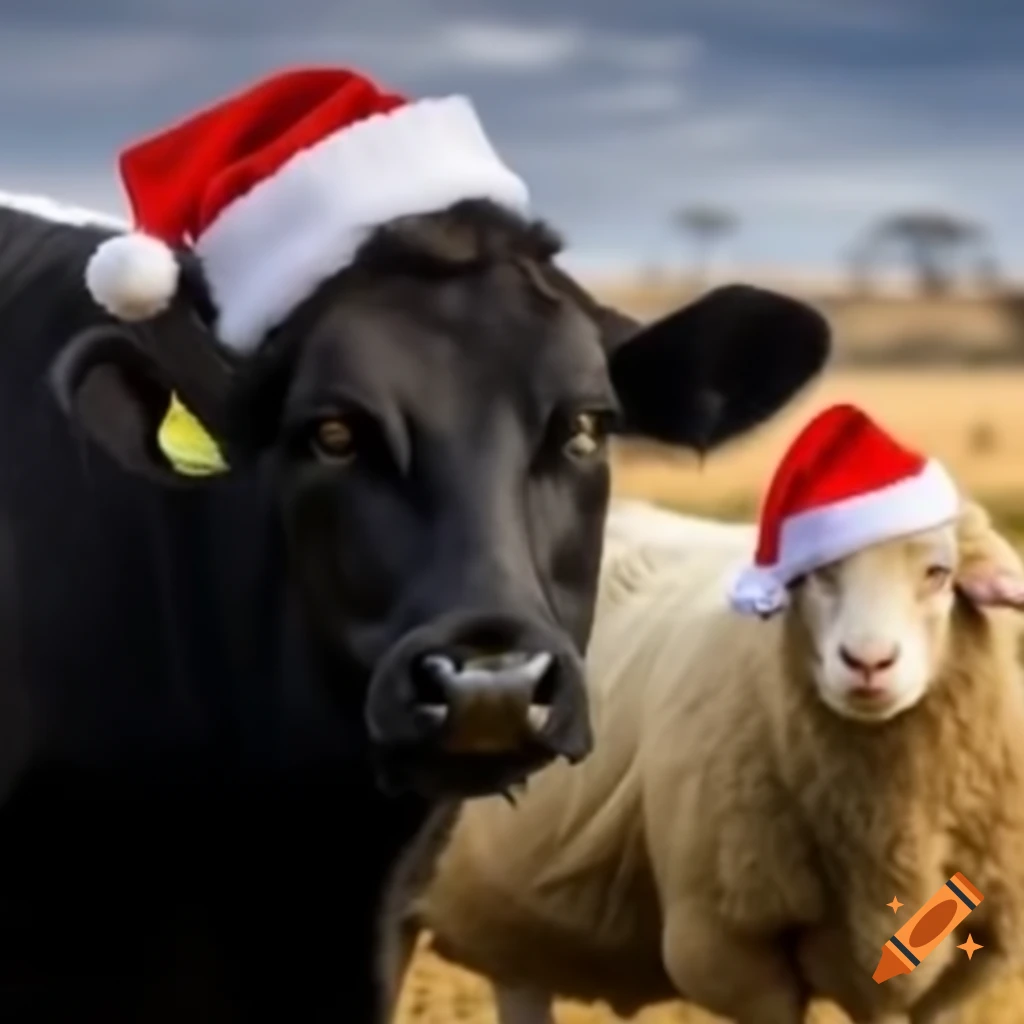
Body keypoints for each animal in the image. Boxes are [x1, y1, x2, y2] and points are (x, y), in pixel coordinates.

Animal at [403, 494, 1024, 1024]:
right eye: (814, 573)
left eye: (938, 573)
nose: (867, 663)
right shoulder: (728, 951)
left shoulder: (960, 968)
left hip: (509, 925)